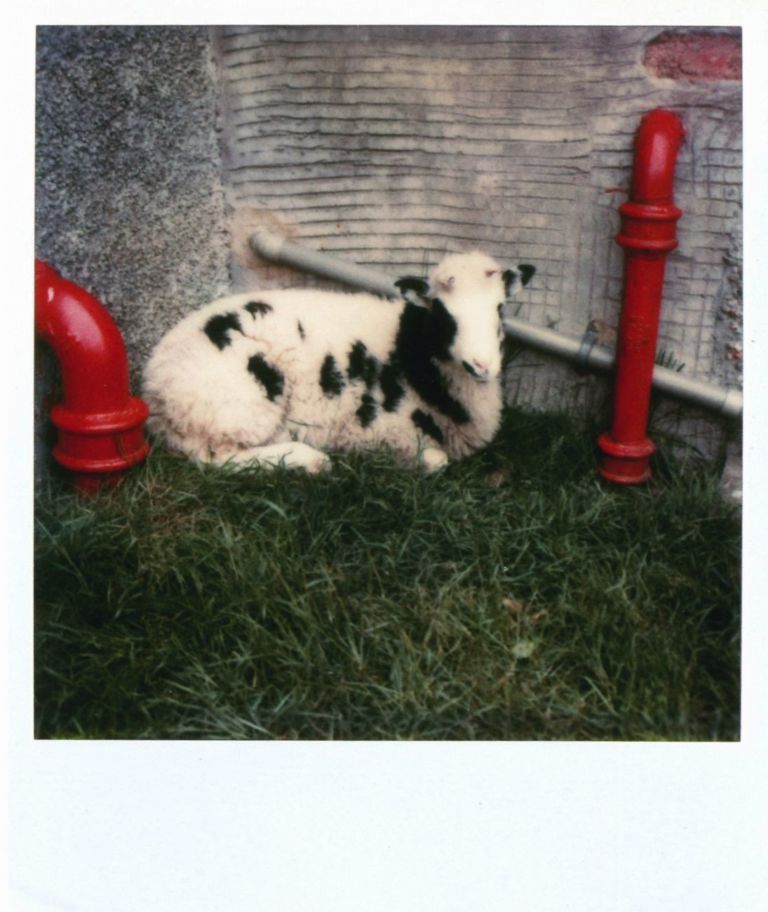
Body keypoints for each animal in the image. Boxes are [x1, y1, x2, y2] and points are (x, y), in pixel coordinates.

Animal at [142, 251, 536, 474]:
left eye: (500, 308)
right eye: (442, 313)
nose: (482, 366)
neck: (415, 353)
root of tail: (154, 389)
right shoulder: (386, 428)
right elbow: (435, 462)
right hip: (240, 404)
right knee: (217, 459)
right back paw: (310, 461)